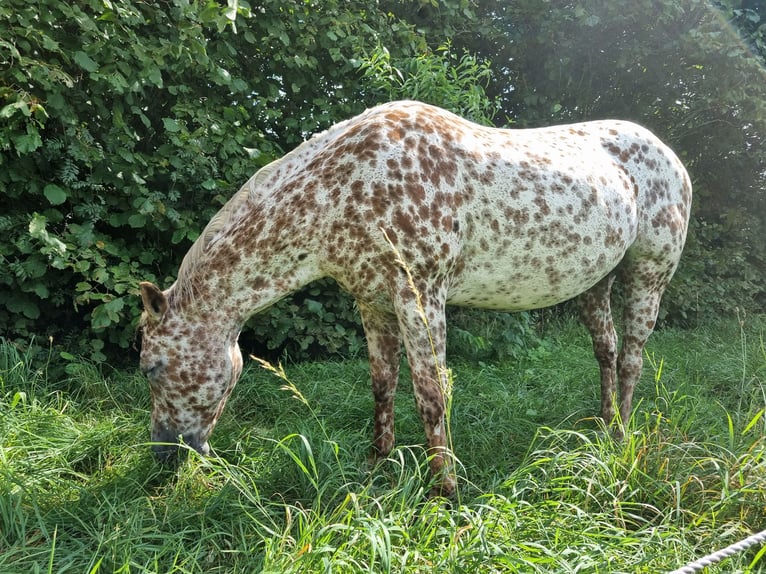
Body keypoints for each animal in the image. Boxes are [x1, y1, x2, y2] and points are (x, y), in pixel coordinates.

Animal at [140, 100, 696, 500]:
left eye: (150, 367)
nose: (163, 453)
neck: (344, 186)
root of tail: (669, 154)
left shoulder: (421, 296)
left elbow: (431, 395)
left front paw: (445, 490)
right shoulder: (373, 303)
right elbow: (382, 385)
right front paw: (376, 466)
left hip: (648, 275)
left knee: (632, 358)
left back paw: (621, 438)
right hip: (596, 283)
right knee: (606, 349)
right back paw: (603, 425)